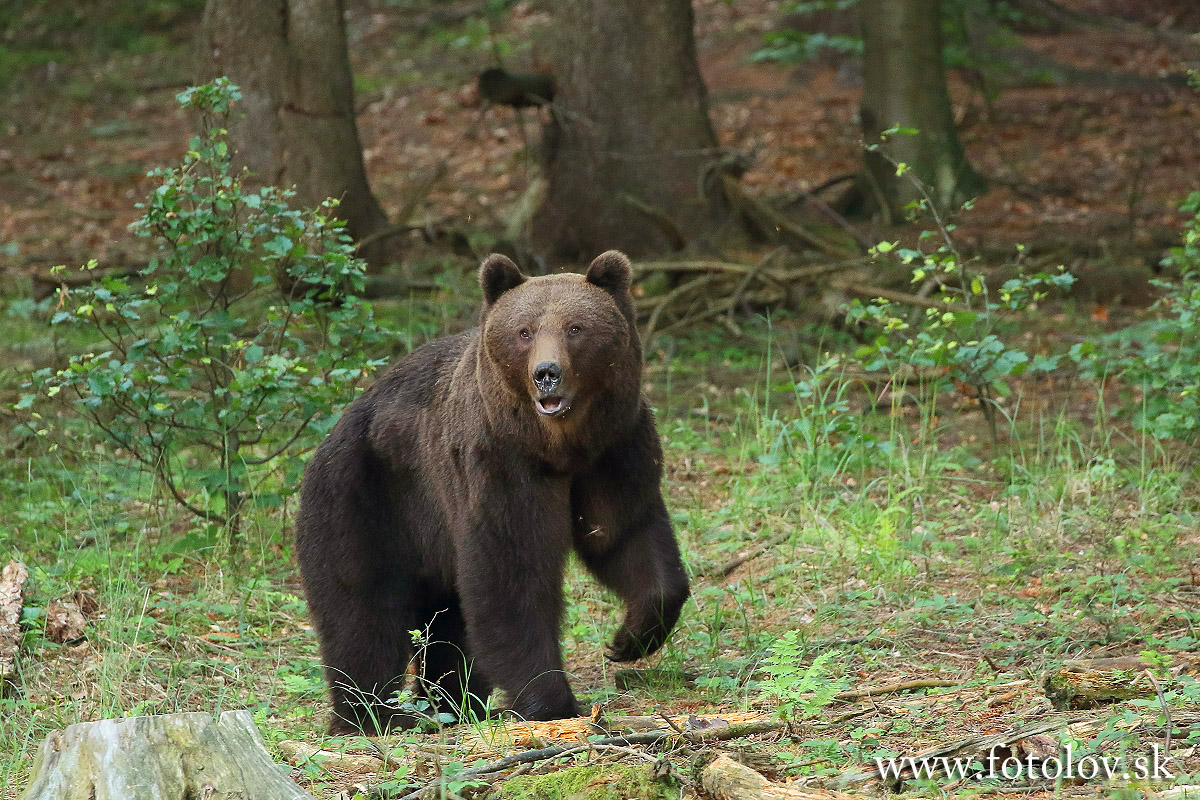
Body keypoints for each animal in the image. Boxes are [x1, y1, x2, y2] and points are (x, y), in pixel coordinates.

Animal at [294, 253, 691, 734]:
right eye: (525, 331)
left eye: (575, 327)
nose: (546, 374)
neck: (559, 446)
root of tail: (329, 435)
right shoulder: (498, 462)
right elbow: (512, 570)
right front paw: (550, 701)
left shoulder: (616, 450)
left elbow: (623, 534)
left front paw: (629, 638)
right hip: (362, 499)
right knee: (362, 610)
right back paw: (370, 715)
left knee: (448, 622)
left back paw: (452, 701)